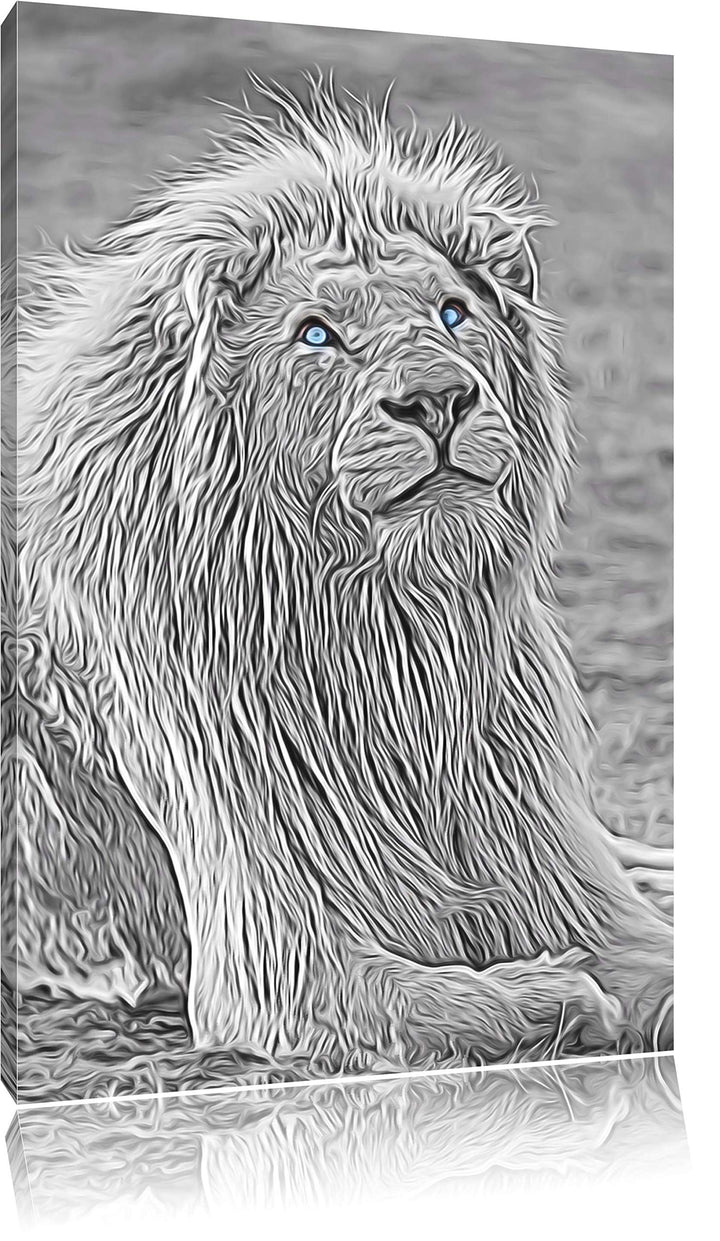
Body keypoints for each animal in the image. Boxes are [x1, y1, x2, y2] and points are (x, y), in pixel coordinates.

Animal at [4, 76, 672, 1098]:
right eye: (316, 334)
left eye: (452, 312)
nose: (439, 398)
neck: (389, 635)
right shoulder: (279, 959)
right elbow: (458, 1004)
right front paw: (558, 993)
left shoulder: (570, 877)